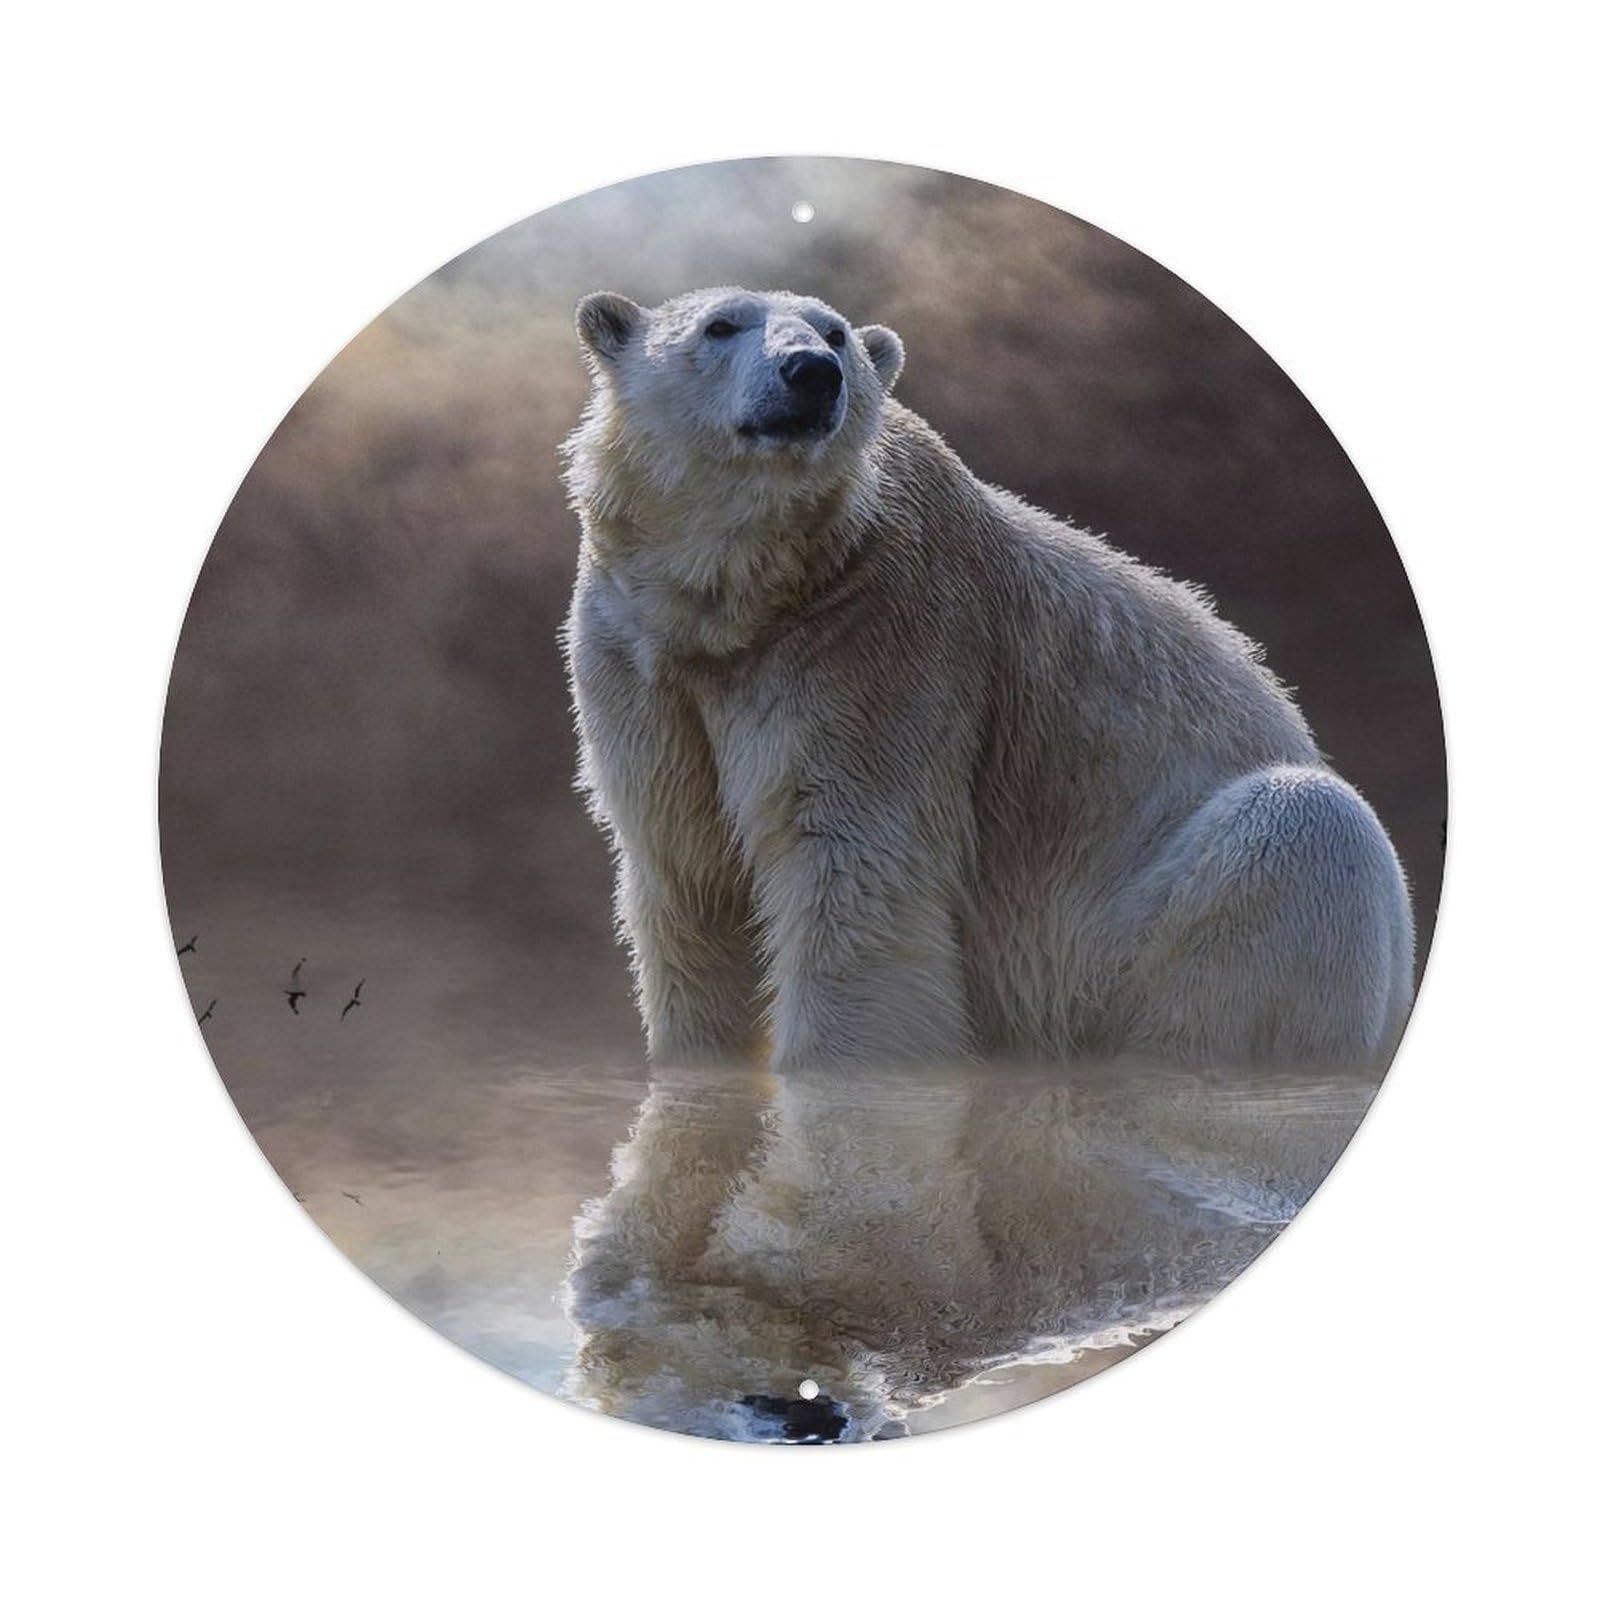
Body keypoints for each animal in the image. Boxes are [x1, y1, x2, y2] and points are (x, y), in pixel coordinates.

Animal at [561, 287, 1414, 1070]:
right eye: (720, 325)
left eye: (836, 333)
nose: (812, 373)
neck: (746, 601)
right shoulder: (637, 655)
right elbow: (688, 872)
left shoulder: (879, 643)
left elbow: (856, 873)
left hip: (1119, 946)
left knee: (1306, 829)